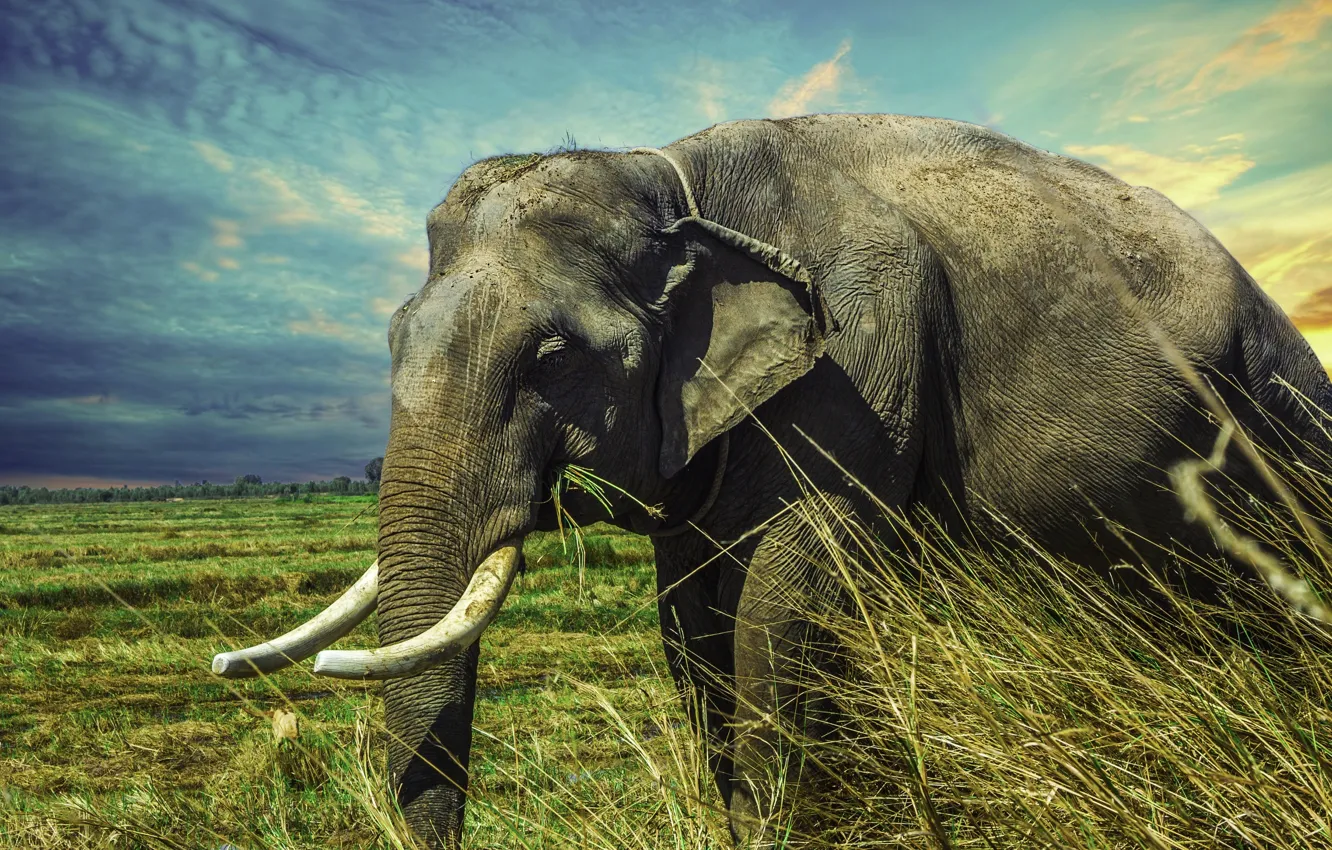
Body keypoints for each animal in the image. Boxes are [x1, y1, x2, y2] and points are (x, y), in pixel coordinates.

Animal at [211, 113, 1332, 848]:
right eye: (392, 340)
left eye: (550, 356)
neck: (673, 176)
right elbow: (689, 620)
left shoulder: (863, 354)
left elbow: (785, 601)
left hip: (1281, 419)